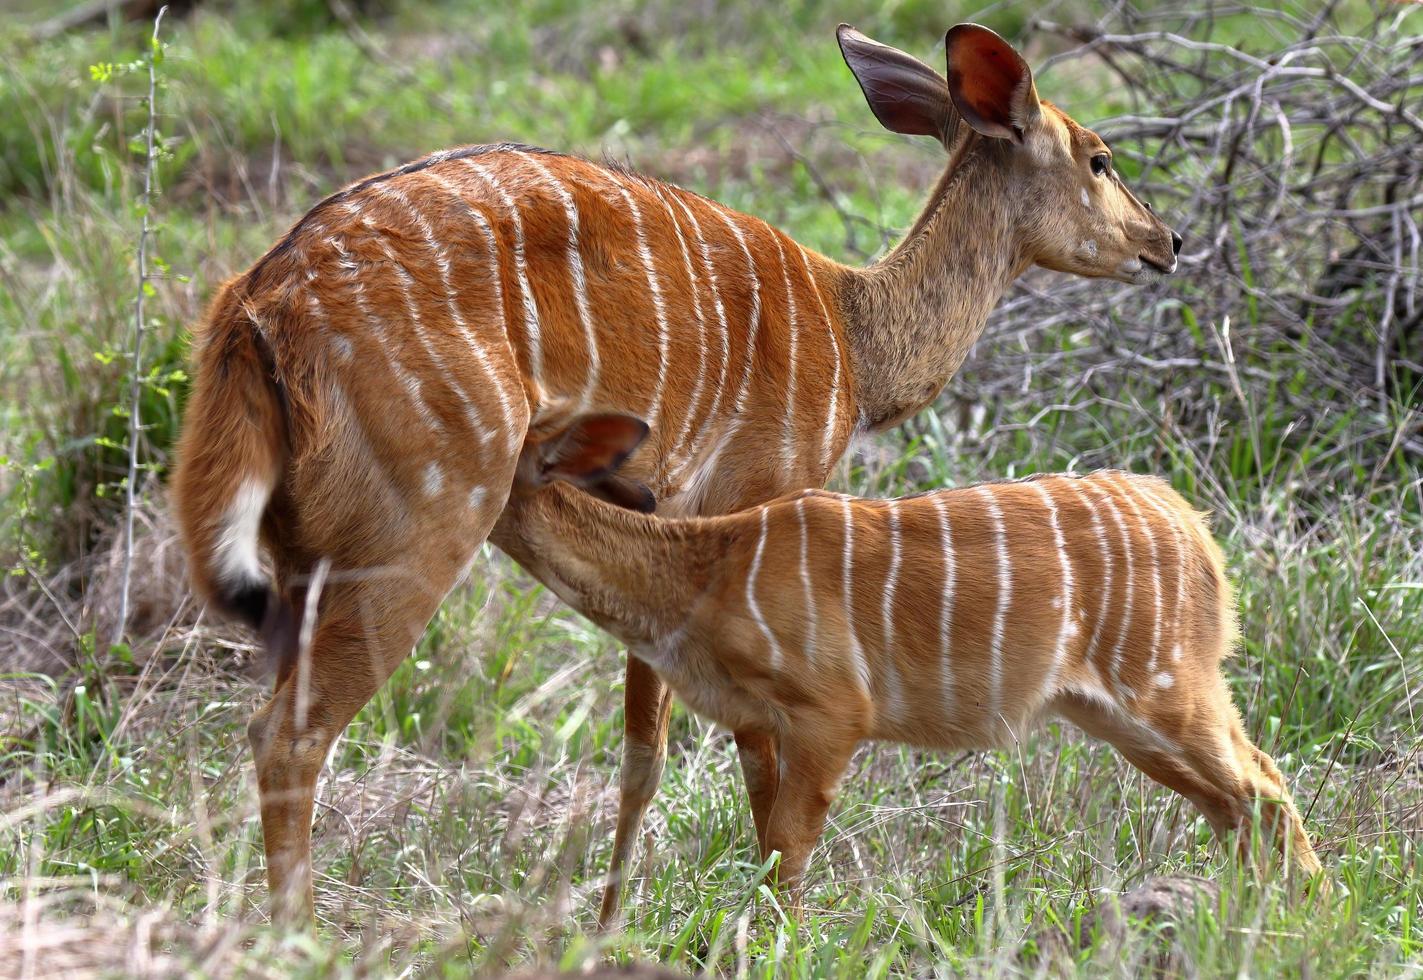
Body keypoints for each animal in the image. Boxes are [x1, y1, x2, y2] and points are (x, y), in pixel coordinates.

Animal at [172, 26, 1183, 921]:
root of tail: (256, 303)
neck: (855, 335)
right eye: (1099, 157)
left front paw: (612, 918)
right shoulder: (747, 508)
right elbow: (743, 752)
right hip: (422, 526)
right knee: (289, 733)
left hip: (303, 552)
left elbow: (638, 748)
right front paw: (768, 915)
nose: (1164, 242)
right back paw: (297, 931)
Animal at [503, 409, 1320, 904]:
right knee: (1234, 796)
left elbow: (787, 853)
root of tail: (1198, 532)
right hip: (1115, 712)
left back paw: (1313, 908)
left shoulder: (834, 711)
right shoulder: (759, 720)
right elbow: (764, 840)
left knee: (1262, 784)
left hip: (1165, 687)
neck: (704, 577)